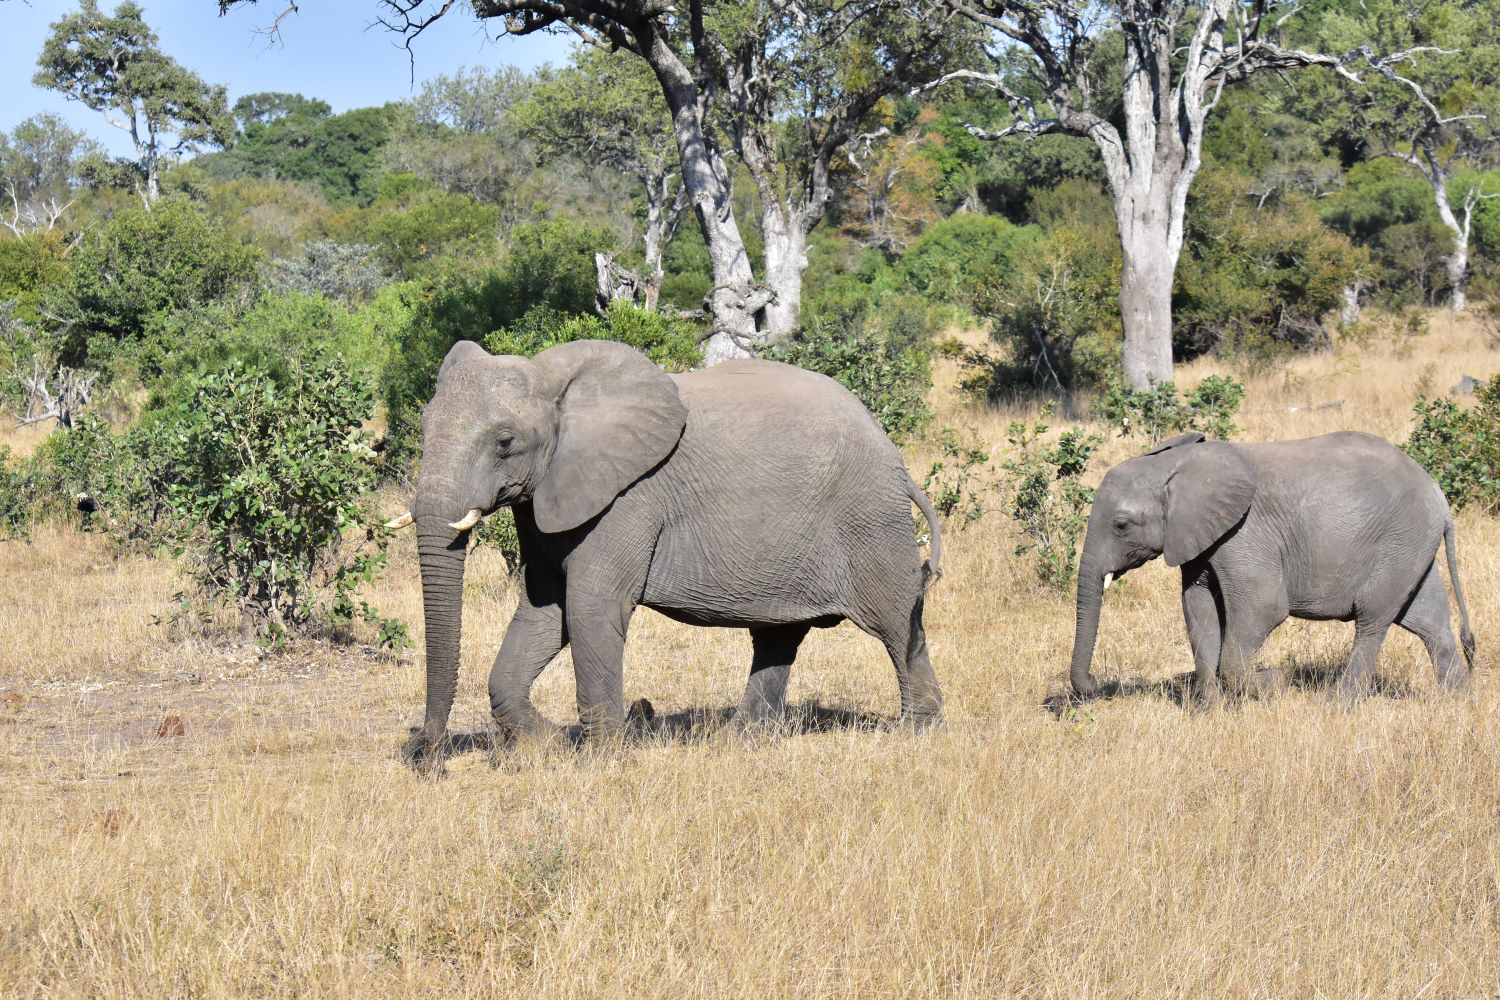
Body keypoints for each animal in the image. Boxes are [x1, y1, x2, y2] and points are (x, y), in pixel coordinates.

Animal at [390, 339, 944, 767]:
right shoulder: (546, 497)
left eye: (505, 441)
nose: (425, 756)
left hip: (869, 521)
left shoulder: (629, 498)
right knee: (777, 636)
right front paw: (554, 744)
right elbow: (544, 611)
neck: (556, 380)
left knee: (896, 626)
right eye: (423, 427)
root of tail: (896, 459)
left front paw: (600, 761)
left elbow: (591, 610)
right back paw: (738, 742)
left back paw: (916, 733)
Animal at [1069, 431, 1476, 706]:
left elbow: (1263, 608)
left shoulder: (1245, 535)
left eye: (1121, 525)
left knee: (1373, 618)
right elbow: (1198, 611)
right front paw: (1208, 713)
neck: (1177, 465)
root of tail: (1439, 496)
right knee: (1427, 618)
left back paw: (1334, 704)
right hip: (1410, 545)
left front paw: (1277, 682)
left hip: (1398, 541)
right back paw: (1456, 700)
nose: (1095, 684)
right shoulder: (1197, 539)